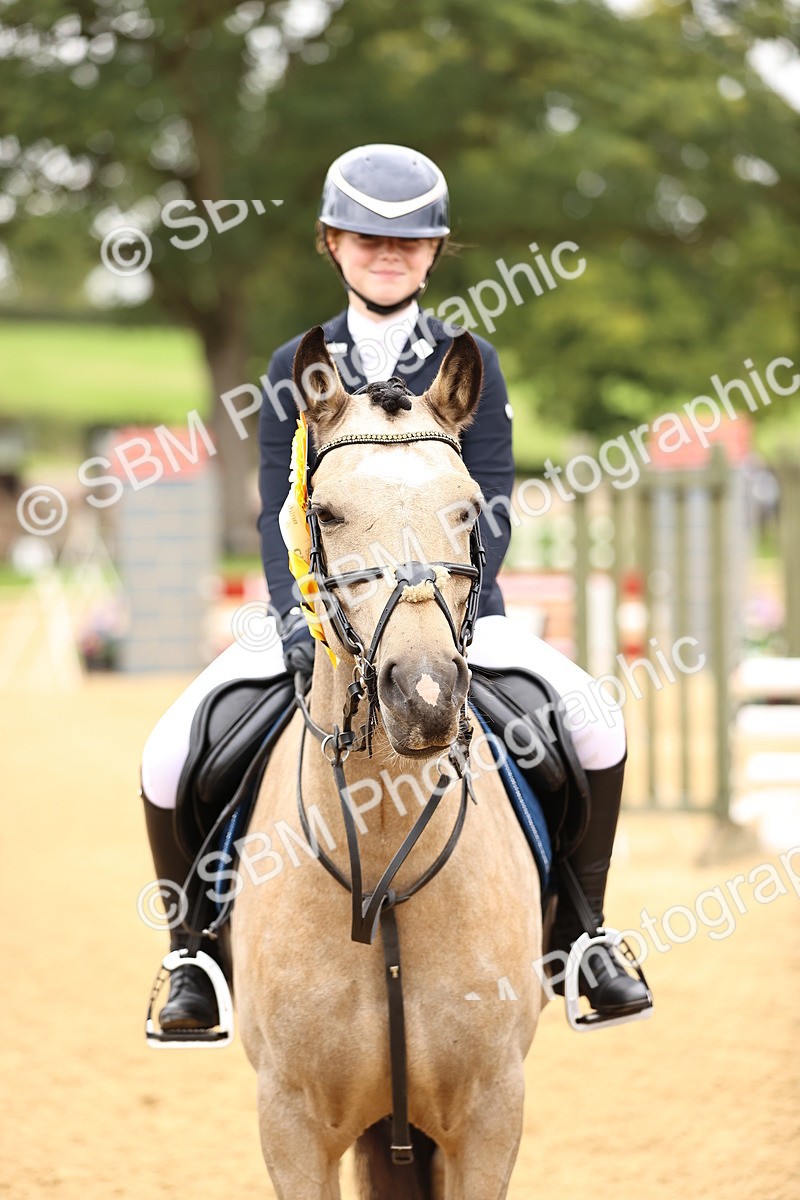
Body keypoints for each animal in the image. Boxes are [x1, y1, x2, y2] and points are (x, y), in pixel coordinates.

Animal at [232, 326, 542, 1199]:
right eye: (327, 512)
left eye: (468, 506)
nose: (426, 695)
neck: (383, 866)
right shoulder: (291, 1124)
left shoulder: (491, 1117)